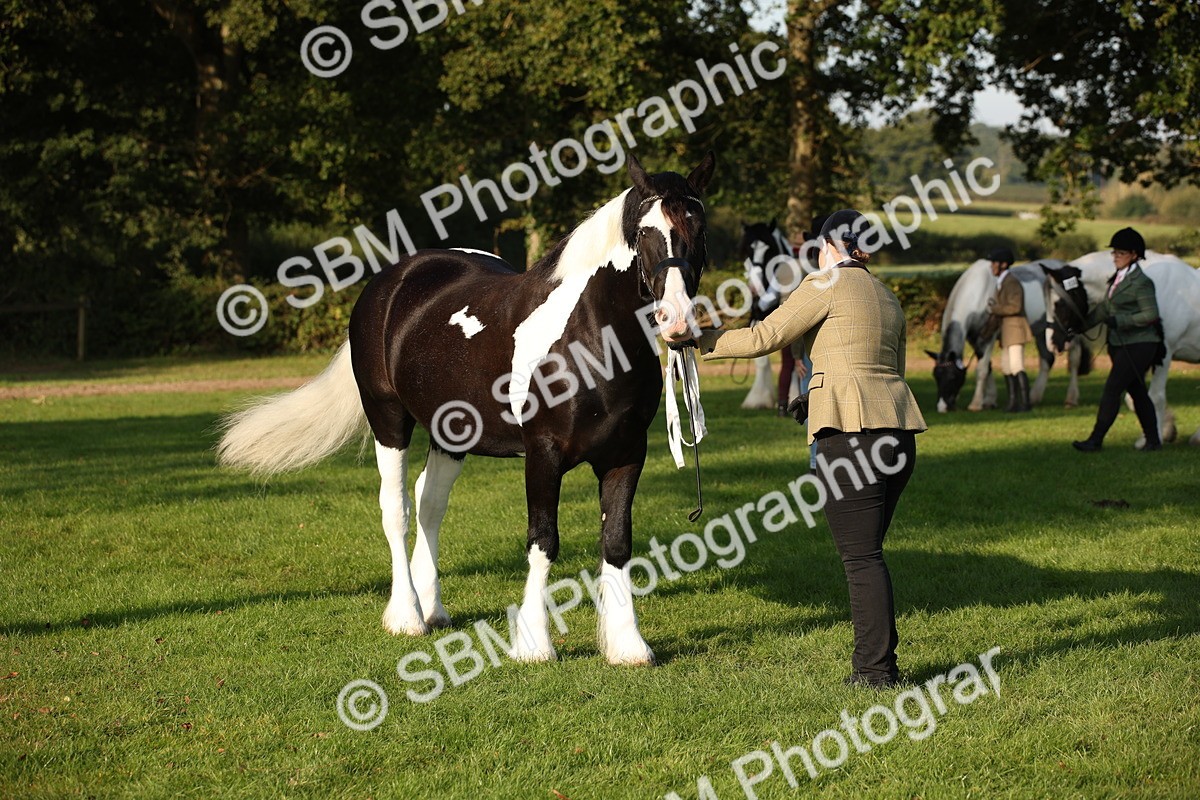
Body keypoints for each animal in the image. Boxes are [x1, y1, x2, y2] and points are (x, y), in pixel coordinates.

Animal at [217, 153, 716, 665]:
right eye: (644, 232)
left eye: (700, 227)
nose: (678, 322)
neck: (589, 338)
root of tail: (391, 280)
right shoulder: (543, 454)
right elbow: (543, 541)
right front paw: (533, 644)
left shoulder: (626, 455)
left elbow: (616, 542)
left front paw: (628, 645)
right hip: (387, 420)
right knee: (396, 508)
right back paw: (406, 616)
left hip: (450, 433)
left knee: (429, 503)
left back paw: (432, 607)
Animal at [736, 220, 809, 410]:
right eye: (748, 249)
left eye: (770, 250)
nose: (754, 288)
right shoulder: (757, 320)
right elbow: (761, 359)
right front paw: (758, 398)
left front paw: (793, 394)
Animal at [926, 258, 1090, 412]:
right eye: (935, 375)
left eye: (952, 376)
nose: (942, 407)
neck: (977, 293)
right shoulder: (974, 339)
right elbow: (988, 367)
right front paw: (989, 400)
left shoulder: (988, 337)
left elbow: (981, 369)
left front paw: (976, 403)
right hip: (1043, 332)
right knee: (1047, 359)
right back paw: (1034, 397)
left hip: (1069, 335)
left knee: (1074, 359)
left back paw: (1071, 399)